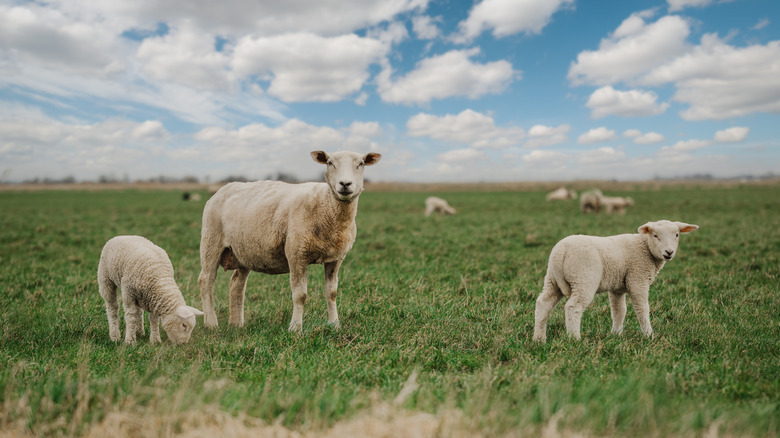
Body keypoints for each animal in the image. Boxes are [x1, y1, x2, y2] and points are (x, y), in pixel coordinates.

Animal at [200, 151, 382, 332]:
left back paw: (236, 324)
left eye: (361, 164)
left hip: (244, 251)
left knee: (236, 284)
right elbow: (300, 295)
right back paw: (211, 323)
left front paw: (334, 324)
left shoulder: (336, 258)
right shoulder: (296, 254)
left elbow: (331, 293)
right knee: (206, 281)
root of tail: (223, 189)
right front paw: (295, 328)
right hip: (211, 241)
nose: (345, 184)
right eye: (330, 163)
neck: (325, 204)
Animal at [532, 219, 696, 342]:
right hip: (583, 278)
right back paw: (574, 339)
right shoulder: (638, 279)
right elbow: (642, 308)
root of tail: (561, 251)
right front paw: (649, 335)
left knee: (543, 303)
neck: (645, 248)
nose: (669, 252)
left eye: (677, 235)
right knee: (573, 307)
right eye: (655, 235)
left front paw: (616, 334)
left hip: (552, 279)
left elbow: (619, 311)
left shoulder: (617, 287)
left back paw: (539, 339)